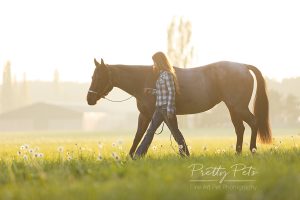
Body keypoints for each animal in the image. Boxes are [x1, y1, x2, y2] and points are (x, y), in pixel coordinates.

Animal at [87, 58, 272, 157]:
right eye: (92, 76)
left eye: (100, 77)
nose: (89, 99)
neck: (145, 79)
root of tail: (243, 66)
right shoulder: (149, 115)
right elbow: (140, 135)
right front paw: (132, 156)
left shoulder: (153, 114)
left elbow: (147, 134)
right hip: (233, 108)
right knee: (240, 128)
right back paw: (238, 153)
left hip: (238, 107)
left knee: (253, 123)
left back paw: (252, 150)